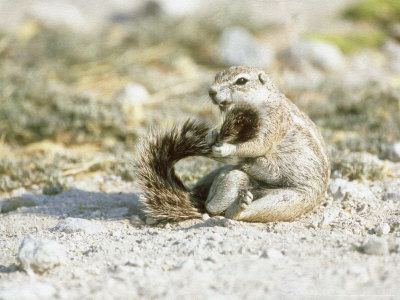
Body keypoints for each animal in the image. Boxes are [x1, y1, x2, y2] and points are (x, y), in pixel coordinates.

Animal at [136, 67, 330, 224]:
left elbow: (260, 144)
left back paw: (236, 207)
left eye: (241, 81)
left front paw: (227, 148)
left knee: (246, 205)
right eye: (216, 75)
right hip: (216, 178)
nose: (211, 92)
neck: (263, 99)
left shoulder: (274, 120)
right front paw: (212, 135)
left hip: (289, 200)